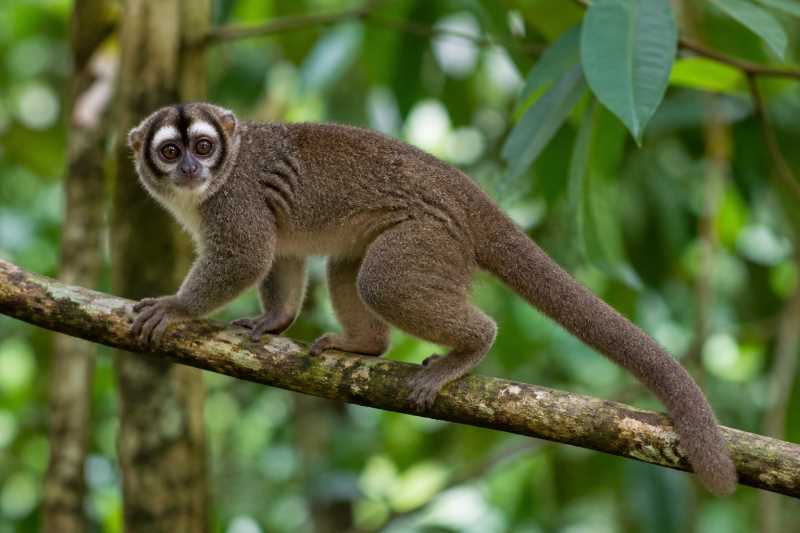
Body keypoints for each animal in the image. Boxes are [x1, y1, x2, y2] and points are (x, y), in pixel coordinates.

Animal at [127, 102, 737, 496]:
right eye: (171, 150)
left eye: (205, 147)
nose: (191, 168)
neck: (214, 182)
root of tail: (468, 194)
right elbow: (280, 257)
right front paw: (273, 321)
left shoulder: (233, 200)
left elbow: (247, 256)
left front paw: (175, 308)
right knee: (347, 267)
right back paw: (365, 346)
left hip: (433, 236)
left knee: (382, 281)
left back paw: (468, 349)